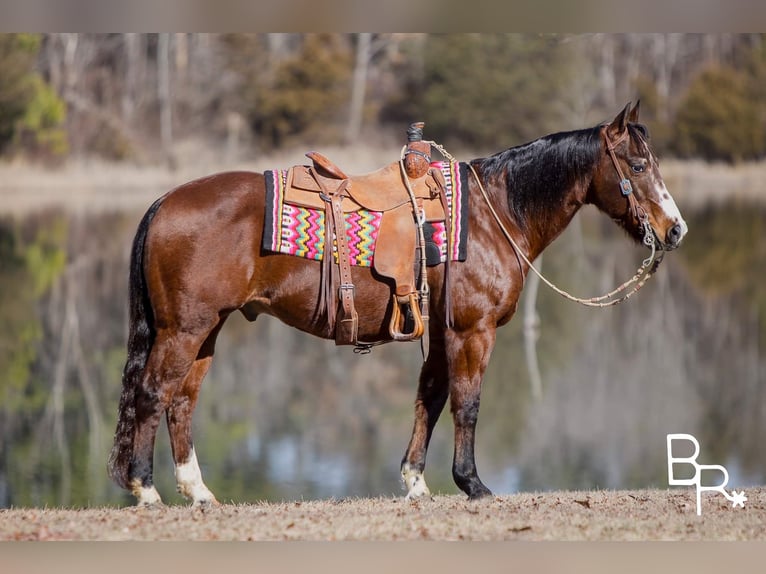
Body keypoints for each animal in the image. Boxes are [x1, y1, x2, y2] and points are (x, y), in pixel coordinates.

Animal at [108, 103, 688, 508]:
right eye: (639, 165)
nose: (675, 230)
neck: (493, 214)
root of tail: (165, 201)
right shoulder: (472, 331)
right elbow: (467, 404)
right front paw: (472, 484)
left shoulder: (441, 332)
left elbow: (428, 399)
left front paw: (415, 481)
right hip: (183, 330)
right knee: (154, 394)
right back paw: (146, 489)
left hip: (206, 331)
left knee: (182, 401)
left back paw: (197, 491)